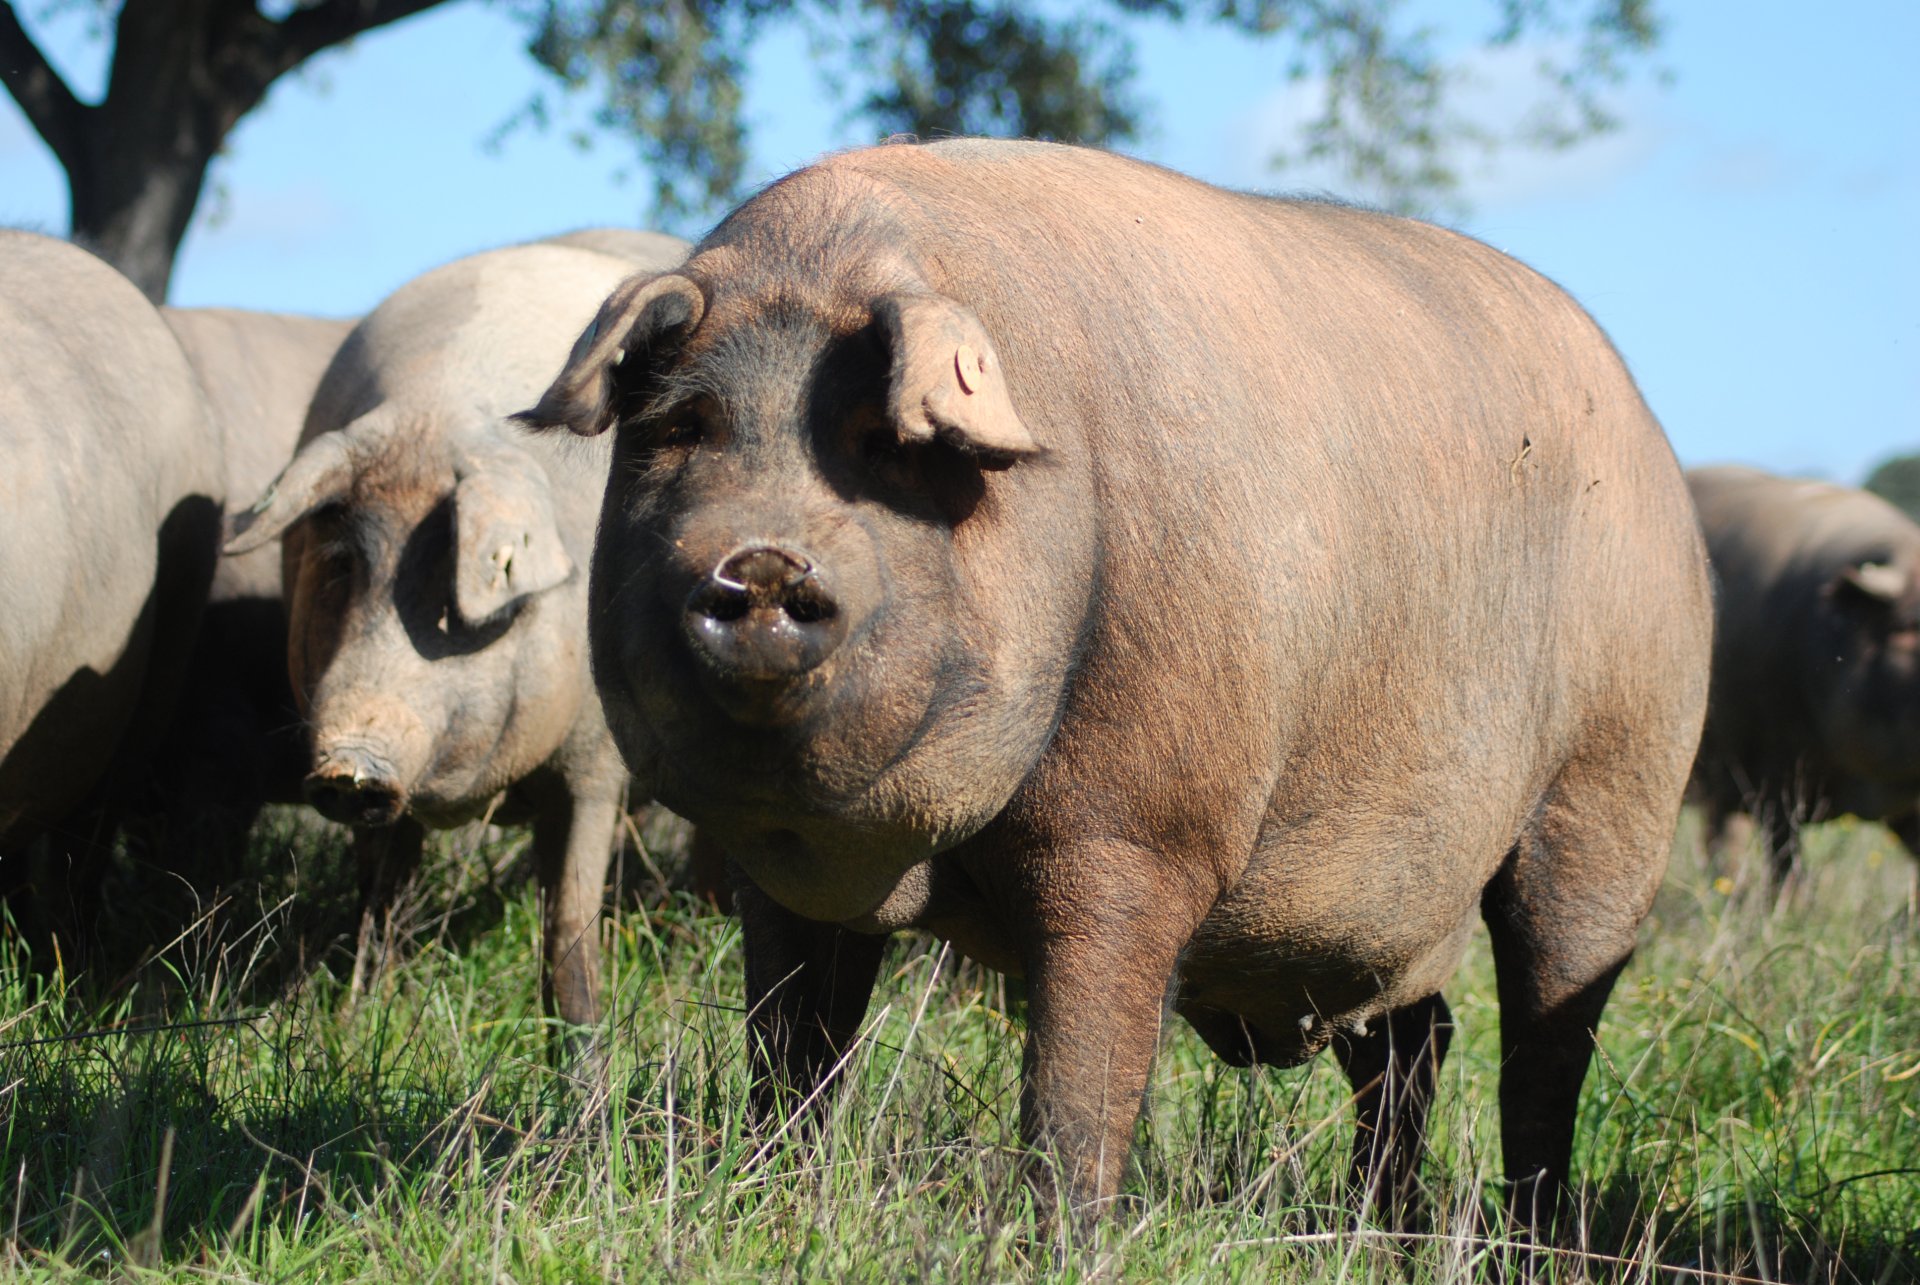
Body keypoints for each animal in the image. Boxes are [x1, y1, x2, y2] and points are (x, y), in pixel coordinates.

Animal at [225, 233, 691, 1029]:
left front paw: (584, 1053)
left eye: (453, 593)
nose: (348, 766)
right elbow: (378, 909)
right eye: (343, 565)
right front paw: (355, 1022)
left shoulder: (595, 761)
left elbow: (568, 934)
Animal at [522, 140, 1712, 1229]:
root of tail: (1655, 440)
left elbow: (1080, 1080)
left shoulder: (1138, 834)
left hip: (1616, 785)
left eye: (880, 443)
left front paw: (1059, 1235)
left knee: (1546, 1031)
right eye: (685, 428)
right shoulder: (775, 868)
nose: (763, 560)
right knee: (1416, 1040)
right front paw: (773, 1202)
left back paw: (1532, 1235)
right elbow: (791, 1043)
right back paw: (1379, 1229)